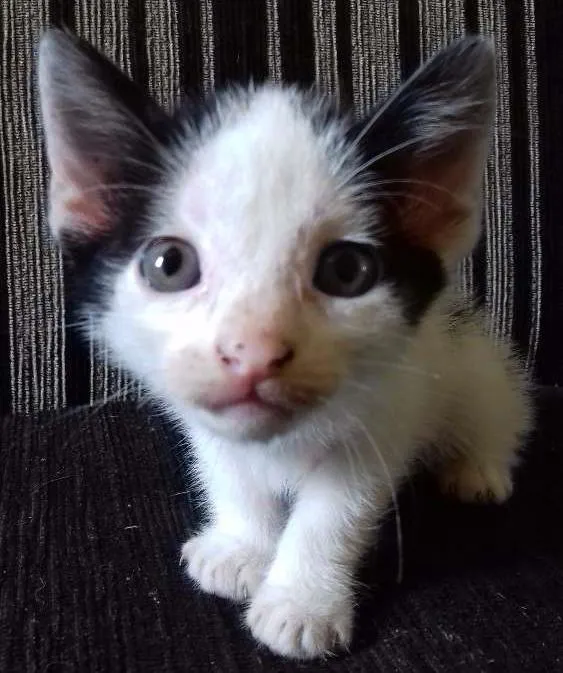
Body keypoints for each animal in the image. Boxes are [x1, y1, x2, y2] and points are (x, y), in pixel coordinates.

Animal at [38, 30, 532, 656]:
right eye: (169, 264)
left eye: (347, 271)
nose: (253, 352)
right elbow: (226, 465)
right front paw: (242, 547)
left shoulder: (389, 405)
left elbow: (335, 507)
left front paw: (303, 603)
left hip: (467, 362)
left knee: (497, 404)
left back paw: (478, 468)